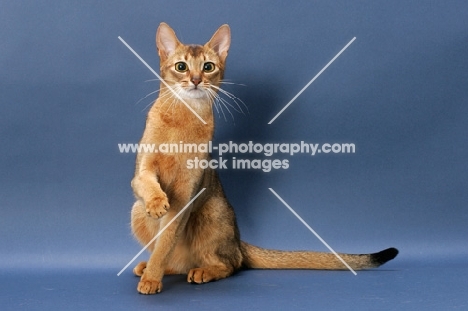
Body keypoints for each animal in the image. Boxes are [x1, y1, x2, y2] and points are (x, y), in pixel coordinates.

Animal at [130, 22, 396, 294]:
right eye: (181, 67)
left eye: (208, 67)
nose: (195, 80)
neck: (182, 119)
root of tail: (238, 240)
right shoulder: (143, 170)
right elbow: (147, 185)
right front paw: (156, 203)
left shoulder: (186, 194)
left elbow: (165, 242)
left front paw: (152, 279)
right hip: (136, 211)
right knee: (178, 258)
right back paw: (151, 266)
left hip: (211, 211)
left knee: (231, 263)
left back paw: (202, 271)